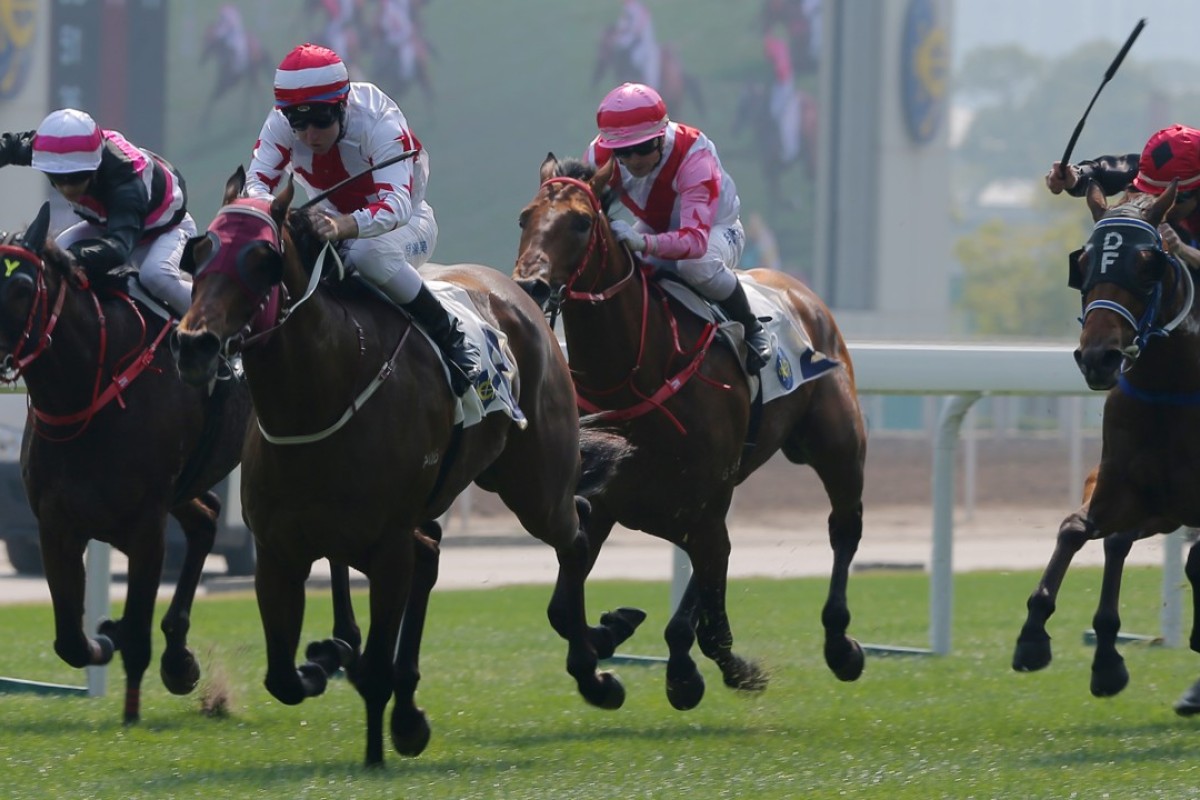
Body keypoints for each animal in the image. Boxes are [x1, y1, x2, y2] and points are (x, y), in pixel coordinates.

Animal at [0, 203, 250, 724]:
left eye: (21, 286)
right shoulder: (56, 522)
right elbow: (71, 641)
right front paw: (108, 636)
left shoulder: (146, 524)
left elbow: (136, 631)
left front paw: (132, 708)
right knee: (207, 518)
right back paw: (178, 654)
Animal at [171, 169, 638, 767]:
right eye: (202, 250)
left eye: (261, 258)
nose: (194, 345)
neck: (324, 391)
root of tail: (522, 297)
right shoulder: (277, 551)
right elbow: (282, 677)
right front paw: (332, 668)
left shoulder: (385, 545)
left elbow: (372, 666)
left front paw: (377, 744)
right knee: (440, 551)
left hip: (534, 485)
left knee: (573, 532)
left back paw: (594, 670)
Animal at [511, 155, 868, 714]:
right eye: (525, 218)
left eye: (581, 223)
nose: (532, 287)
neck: (636, 370)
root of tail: (801, 293)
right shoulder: (610, 497)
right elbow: (563, 610)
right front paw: (607, 649)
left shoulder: (700, 501)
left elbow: (707, 622)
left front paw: (700, 672)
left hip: (837, 445)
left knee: (843, 528)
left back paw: (841, 644)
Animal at [1012, 181, 1200, 714]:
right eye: (1085, 261)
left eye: (1147, 262)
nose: (1098, 357)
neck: (1170, 389)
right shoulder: (1125, 488)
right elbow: (1076, 529)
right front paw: (1033, 637)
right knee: (1117, 543)